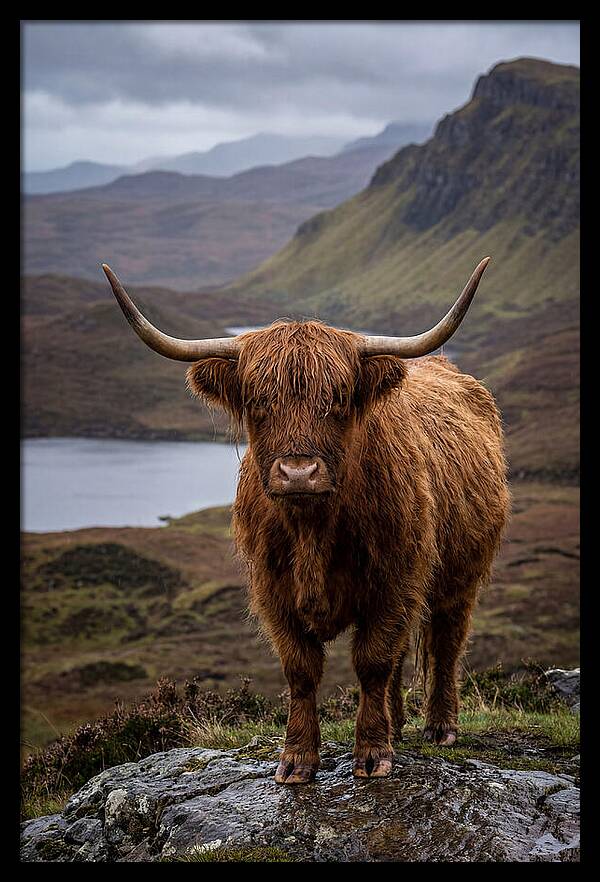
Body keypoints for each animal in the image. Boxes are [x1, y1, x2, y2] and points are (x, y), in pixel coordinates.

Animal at [102, 258, 509, 784]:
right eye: (258, 402)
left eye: (337, 399)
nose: (298, 472)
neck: (313, 529)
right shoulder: (273, 589)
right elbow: (302, 669)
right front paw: (297, 759)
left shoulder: (395, 581)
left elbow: (372, 659)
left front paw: (372, 754)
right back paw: (399, 724)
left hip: (461, 576)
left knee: (446, 642)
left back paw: (440, 727)